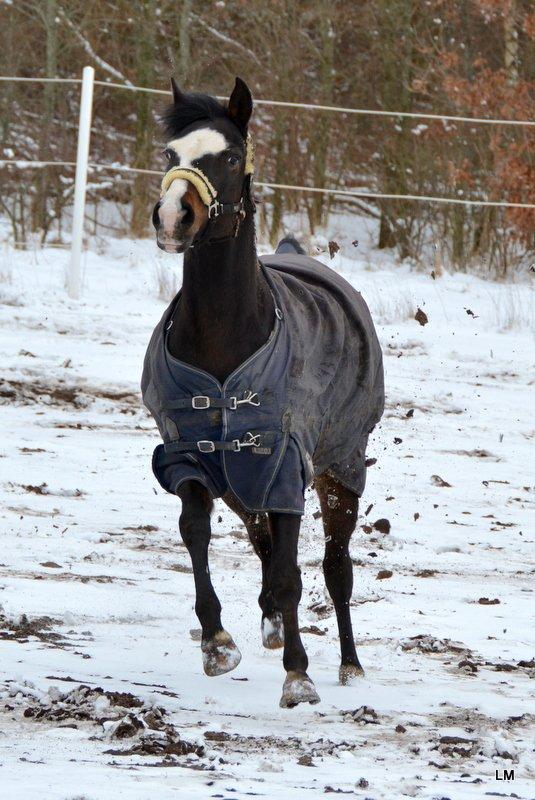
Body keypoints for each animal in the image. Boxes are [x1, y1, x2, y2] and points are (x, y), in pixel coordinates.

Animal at [142, 78, 386, 708]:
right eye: (170, 154)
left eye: (229, 157)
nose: (173, 217)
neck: (226, 338)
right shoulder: (192, 457)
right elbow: (198, 536)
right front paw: (217, 642)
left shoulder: (284, 466)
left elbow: (293, 572)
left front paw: (299, 675)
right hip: (241, 482)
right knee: (264, 544)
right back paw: (272, 625)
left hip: (341, 470)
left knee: (335, 568)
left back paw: (349, 664)